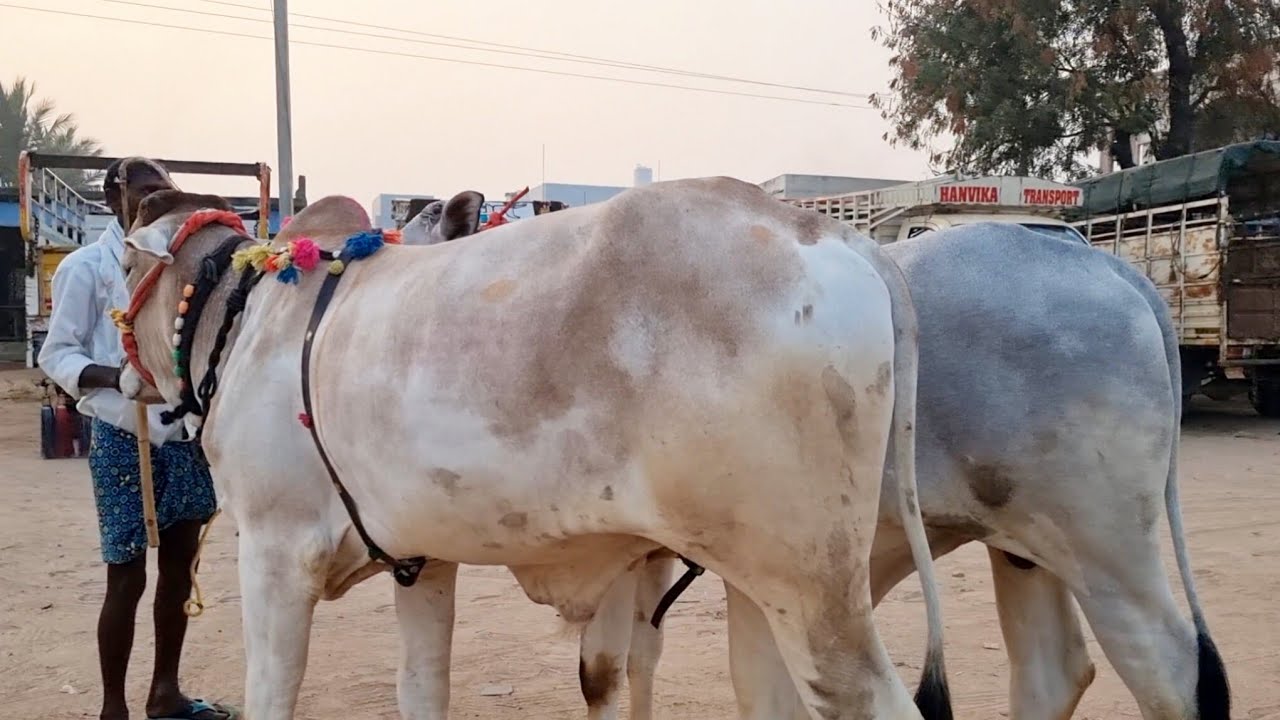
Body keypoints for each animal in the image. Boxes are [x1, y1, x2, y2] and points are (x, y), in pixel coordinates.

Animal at [116, 177, 954, 720]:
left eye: (122, 265)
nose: (118, 377)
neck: (244, 313)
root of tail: (830, 230)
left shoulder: (274, 553)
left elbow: (272, 696)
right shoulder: (424, 562)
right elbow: (422, 691)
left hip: (815, 594)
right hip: (759, 584)